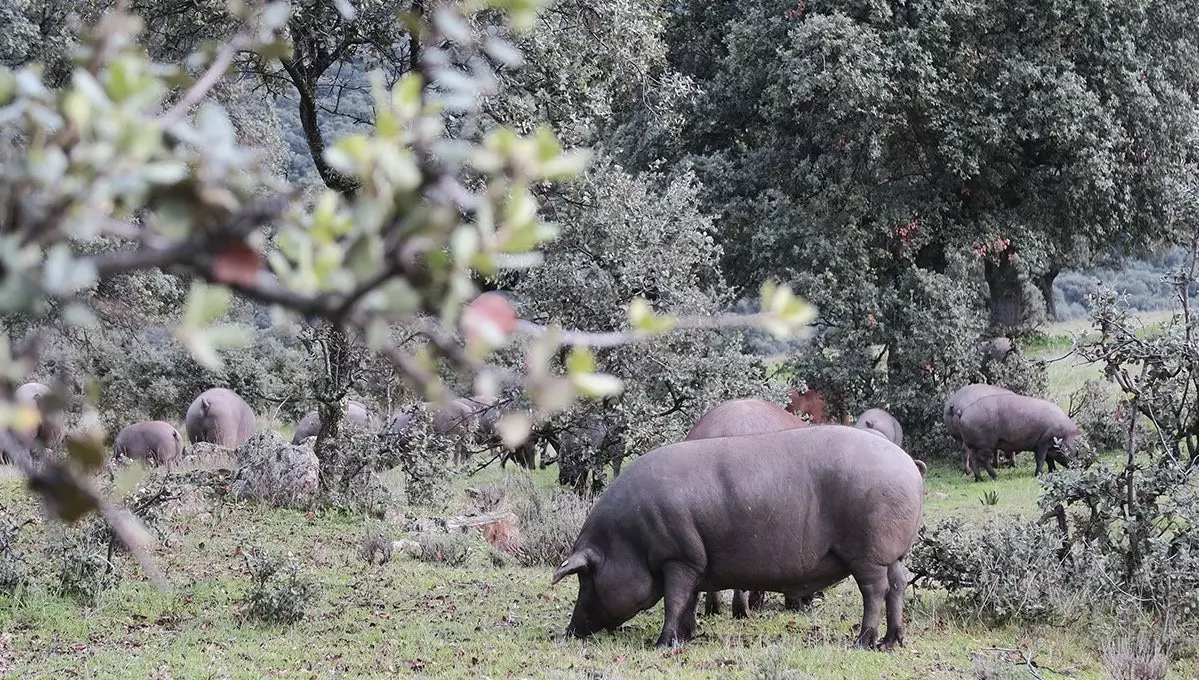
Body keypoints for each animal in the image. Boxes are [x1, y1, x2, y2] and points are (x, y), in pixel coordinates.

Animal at [551, 429, 925, 652]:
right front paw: (688, 636)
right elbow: (688, 600)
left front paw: (663, 644)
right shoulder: (694, 562)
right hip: (895, 553)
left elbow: (674, 600)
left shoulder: (678, 557)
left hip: (868, 552)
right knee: (898, 585)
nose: (569, 632)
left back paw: (863, 642)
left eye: (586, 576)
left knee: (875, 590)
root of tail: (909, 465)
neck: (628, 540)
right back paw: (892, 641)